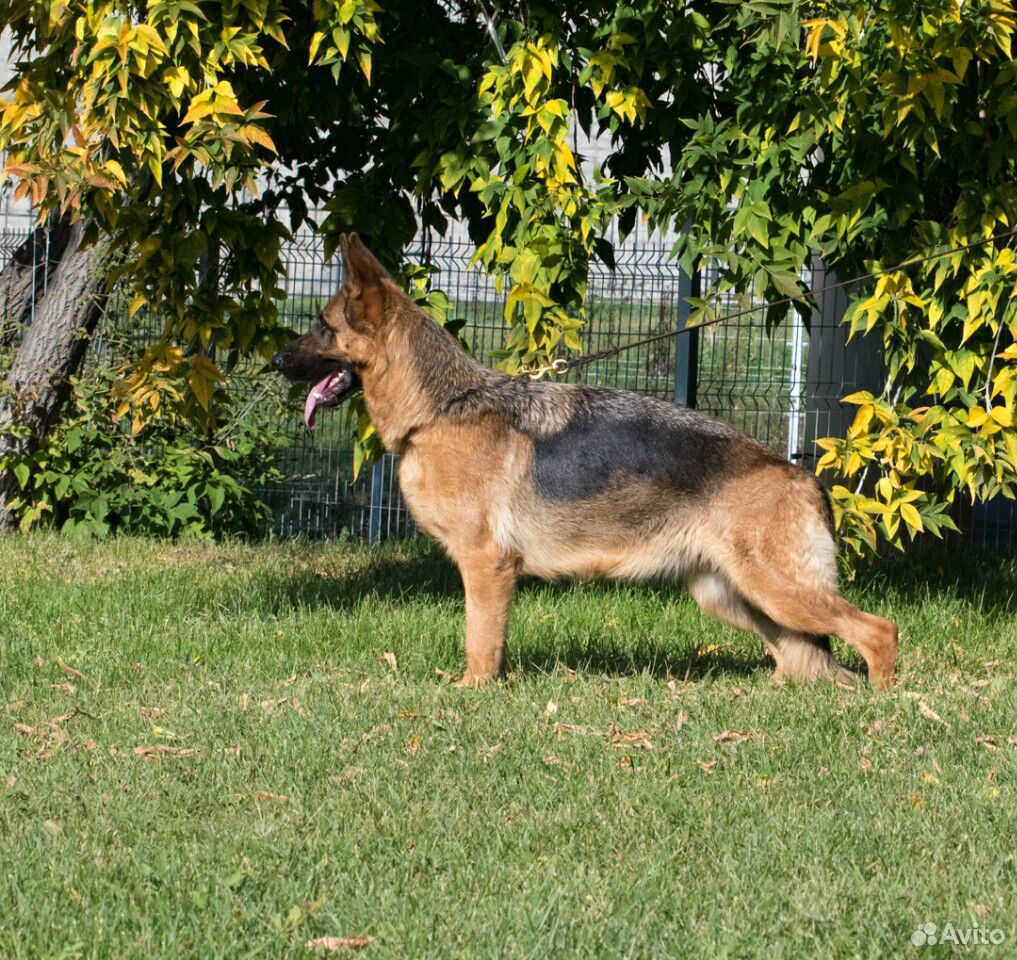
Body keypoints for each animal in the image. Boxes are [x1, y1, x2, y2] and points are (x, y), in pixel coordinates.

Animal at [272, 234, 899, 687]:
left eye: (321, 326)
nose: (274, 360)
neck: (441, 408)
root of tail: (802, 476)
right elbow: (490, 642)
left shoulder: (486, 565)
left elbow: (480, 641)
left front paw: (472, 696)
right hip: (733, 597)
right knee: (801, 660)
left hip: (774, 590)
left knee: (879, 631)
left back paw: (881, 705)